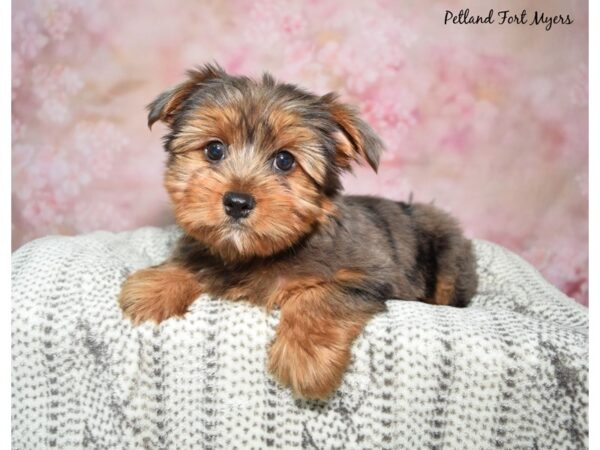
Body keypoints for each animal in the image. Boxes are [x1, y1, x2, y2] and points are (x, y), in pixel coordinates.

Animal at [118, 63, 478, 400]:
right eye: (214, 150)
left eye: (284, 160)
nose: (237, 202)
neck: (257, 254)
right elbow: (195, 259)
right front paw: (155, 286)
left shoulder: (372, 272)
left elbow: (323, 295)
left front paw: (306, 357)